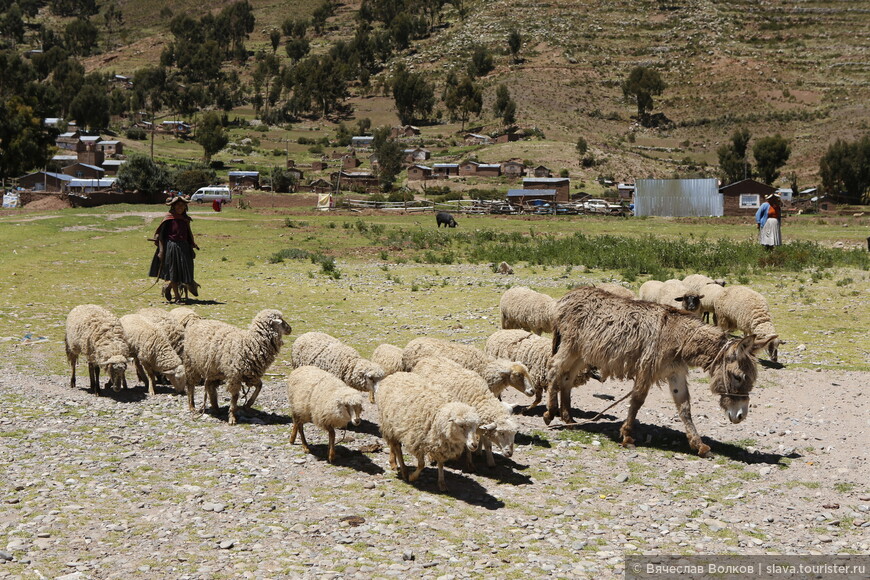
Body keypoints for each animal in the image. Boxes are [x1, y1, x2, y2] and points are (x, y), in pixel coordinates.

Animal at [544, 288, 776, 456]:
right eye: (738, 377)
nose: (740, 416)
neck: (679, 337)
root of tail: (569, 295)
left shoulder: (675, 373)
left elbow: (684, 407)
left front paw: (699, 444)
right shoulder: (646, 369)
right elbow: (637, 401)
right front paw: (627, 436)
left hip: (582, 353)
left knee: (567, 377)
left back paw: (568, 418)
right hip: (570, 346)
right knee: (554, 369)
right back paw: (550, 412)